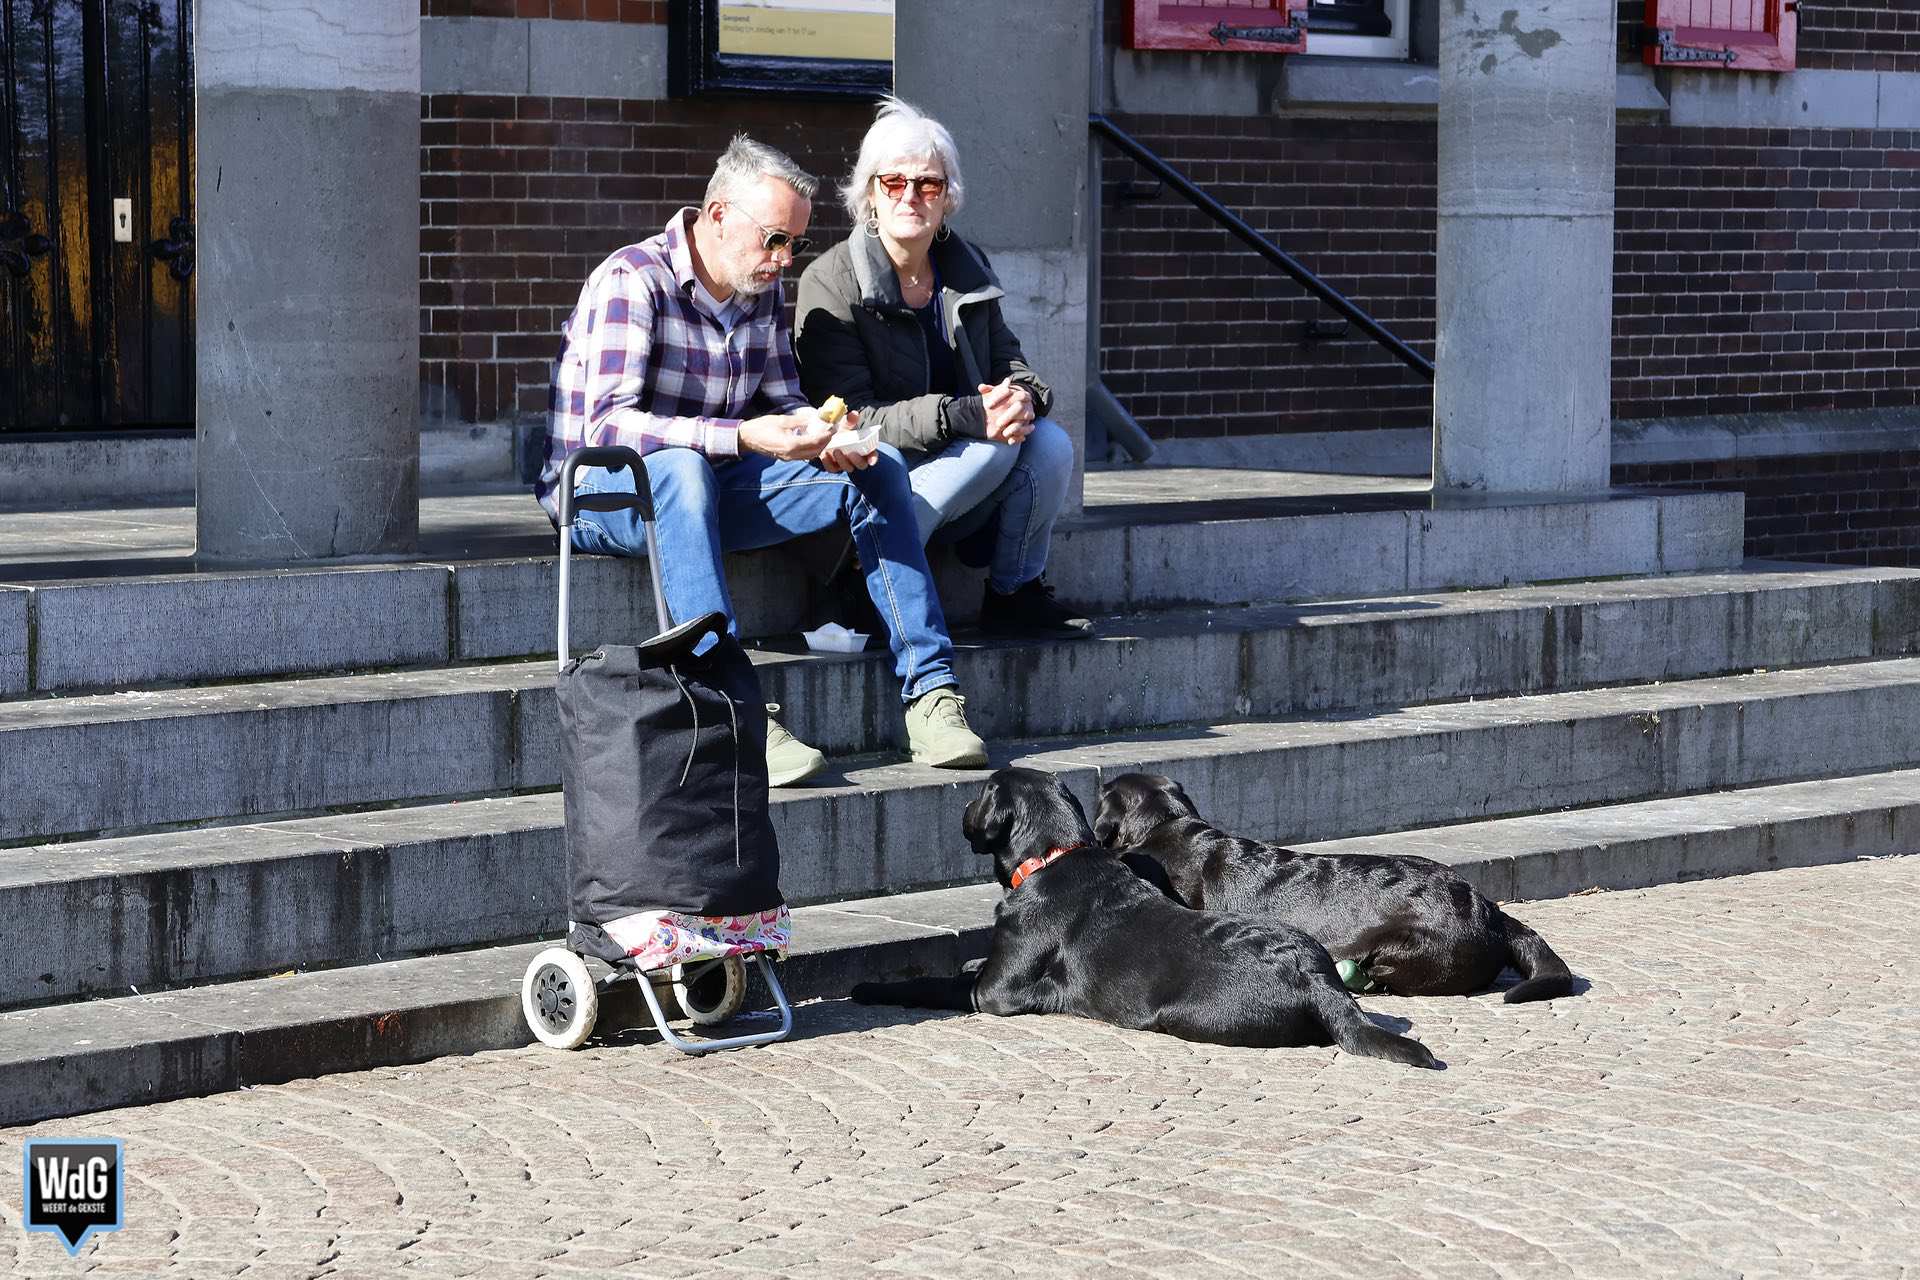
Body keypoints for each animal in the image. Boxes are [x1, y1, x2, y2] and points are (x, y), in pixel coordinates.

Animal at [856, 771, 1443, 1074]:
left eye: (979, 793)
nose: (960, 811)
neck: (1052, 858)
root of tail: (1318, 980)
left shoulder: (994, 994)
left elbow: (934, 984)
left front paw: (871, 987)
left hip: (1185, 1015)